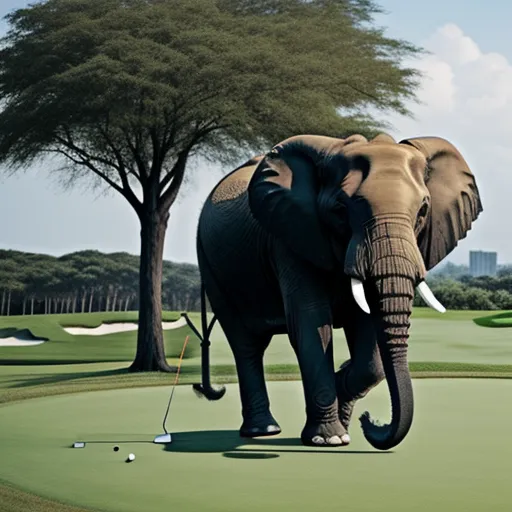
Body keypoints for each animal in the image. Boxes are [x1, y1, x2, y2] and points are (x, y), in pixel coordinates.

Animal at [194, 133, 482, 452]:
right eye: (341, 211)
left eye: (422, 211)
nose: (371, 420)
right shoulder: (290, 236)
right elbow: (311, 324)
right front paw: (329, 438)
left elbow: (369, 347)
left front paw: (343, 404)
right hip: (211, 264)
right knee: (245, 344)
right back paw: (262, 431)